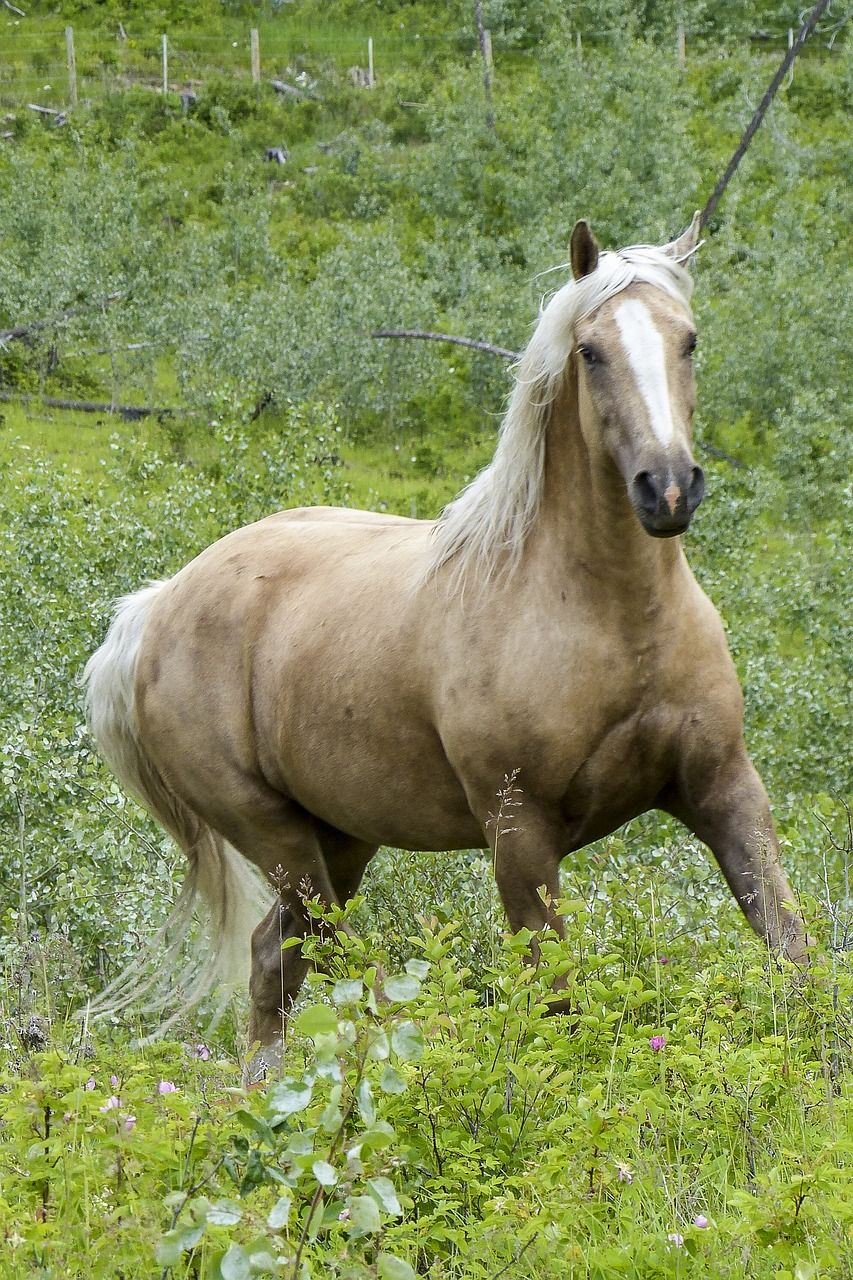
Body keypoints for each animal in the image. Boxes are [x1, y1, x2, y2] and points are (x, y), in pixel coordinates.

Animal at [84, 215, 808, 1070]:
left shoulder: (723, 788)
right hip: (276, 835)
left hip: (341, 838)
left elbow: (792, 950)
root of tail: (158, 606)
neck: (611, 622)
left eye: (687, 340)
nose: (665, 489)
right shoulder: (518, 832)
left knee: (274, 959)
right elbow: (555, 1002)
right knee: (330, 958)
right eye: (590, 350)